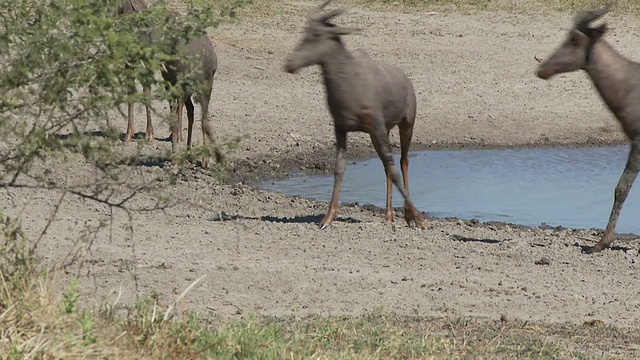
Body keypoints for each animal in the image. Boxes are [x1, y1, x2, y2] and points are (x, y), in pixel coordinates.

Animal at [284, 0, 424, 229]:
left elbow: (394, 169)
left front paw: (419, 218)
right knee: (388, 166)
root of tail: (405, 79)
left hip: (406, 125)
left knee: (402, 162)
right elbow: (339, 168)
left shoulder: (377, 128)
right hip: (382, 132)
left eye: (316, 34)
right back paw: (388, 215)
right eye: (304, 31)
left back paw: (407, 215)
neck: (351, 78)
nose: (289, 64)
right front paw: (327, 218)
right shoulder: (341, 128)